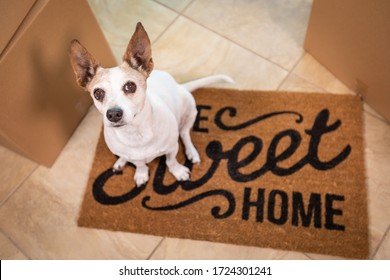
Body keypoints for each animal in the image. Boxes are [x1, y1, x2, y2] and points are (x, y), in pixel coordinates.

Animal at [68, 22, 233, 186]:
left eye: (130, 86)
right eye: (98, 93)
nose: (113, 114)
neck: (134, 133)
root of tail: (179, 85)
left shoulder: (172, 148)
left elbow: (171, 161)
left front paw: (178, 172)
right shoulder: (136, 157)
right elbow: (140, 164)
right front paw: (141, 174)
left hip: (190, 111)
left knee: (185, 133)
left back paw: (191, 152)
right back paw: (121, 161)